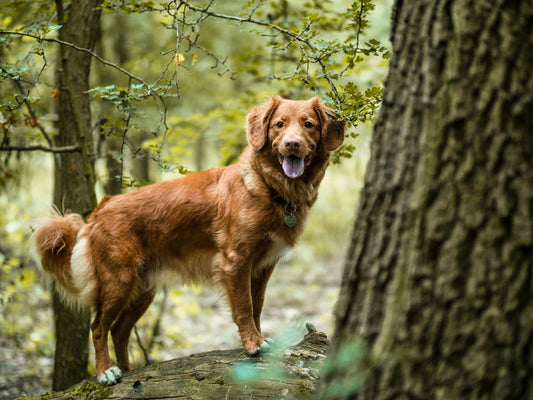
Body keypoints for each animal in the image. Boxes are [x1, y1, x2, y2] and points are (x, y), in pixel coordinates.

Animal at [34, 96, 344, 384]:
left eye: (308, 124)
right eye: (279, 124)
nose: (292, 144)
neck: (269, 187)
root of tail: (102, 207)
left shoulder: (263, 266)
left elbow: (257, 306)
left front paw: (257, 338)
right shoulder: (235, 261)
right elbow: (244, 307)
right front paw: (253, 344)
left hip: (142, 290)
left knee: (119, 330)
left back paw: (129, 370)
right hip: (118, 280)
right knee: (99, 327)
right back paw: (106, 371)